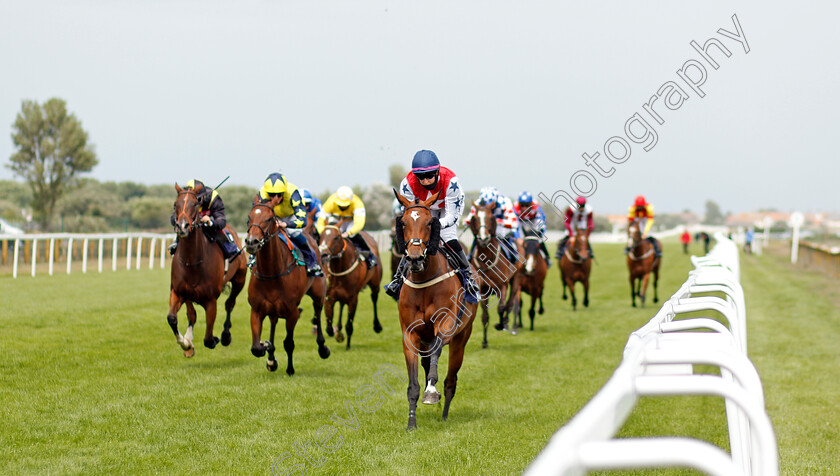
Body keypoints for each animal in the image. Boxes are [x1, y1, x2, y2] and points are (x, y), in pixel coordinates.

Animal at [167, 182, 246, 356]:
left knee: (230, 304)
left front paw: (215, 339)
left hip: (240, 279)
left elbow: (208, 339)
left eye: (195, 204)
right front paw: (186, 344)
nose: (182, 226)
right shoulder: (179, 291)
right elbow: (175, 318)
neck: (191, 261)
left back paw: (225, 336)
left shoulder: (211, 301)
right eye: (175, 204)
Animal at [243, 196, 332, 372]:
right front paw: (267, 347)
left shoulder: (292, 311)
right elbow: (256, 348)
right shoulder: (256, 310)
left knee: (318, 313)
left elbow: (289, 343)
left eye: (269, 218)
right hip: (273, 308)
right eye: (249, 217)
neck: (271, 273)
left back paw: (322, 347)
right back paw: (271, 357)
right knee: (273, 321)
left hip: (318, 293)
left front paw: (290, 369)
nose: (251, 242)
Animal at [316, 222, 382, 350]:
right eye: (321, 236)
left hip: (375, 284)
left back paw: (377, 326)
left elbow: (349, 325)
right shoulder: (329, 297)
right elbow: (329, 326)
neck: (340, 268)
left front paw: (347, 345)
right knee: (342, 304)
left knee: (374, 298)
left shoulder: (353, 299)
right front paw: (338, 334)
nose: (323, 254)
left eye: (337, 237)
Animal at [396, 190, 480, 432]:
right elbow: (413, 385)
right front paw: (411, 424)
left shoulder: (447, 325)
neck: (424, 280)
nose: (415, 258)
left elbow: (437, 352)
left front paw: (432, 392)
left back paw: (444, 414)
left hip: (461, 339)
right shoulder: (410, 335)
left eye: (429, 223)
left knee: (451, 381)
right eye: (403, 223)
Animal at [470, 201, 520, 342]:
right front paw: (484, 342)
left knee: (510, 303)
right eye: (475, 218)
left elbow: (501, 307)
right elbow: (485, 316)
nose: (483, 238)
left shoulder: (502, 285)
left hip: (516, 278)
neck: (486, 258)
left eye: (491, 218)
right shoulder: (483, 290)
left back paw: (506, 322)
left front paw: (500, 324)